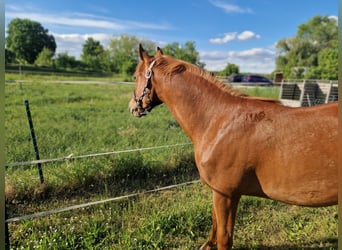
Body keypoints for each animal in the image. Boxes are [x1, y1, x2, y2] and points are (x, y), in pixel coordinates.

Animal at [128, 44, 336, 248]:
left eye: (135, 76)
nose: (132, 107)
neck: (219, 121)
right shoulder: (218, 192)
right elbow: (214, 223)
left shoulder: (226, 194)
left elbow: (224, 237)